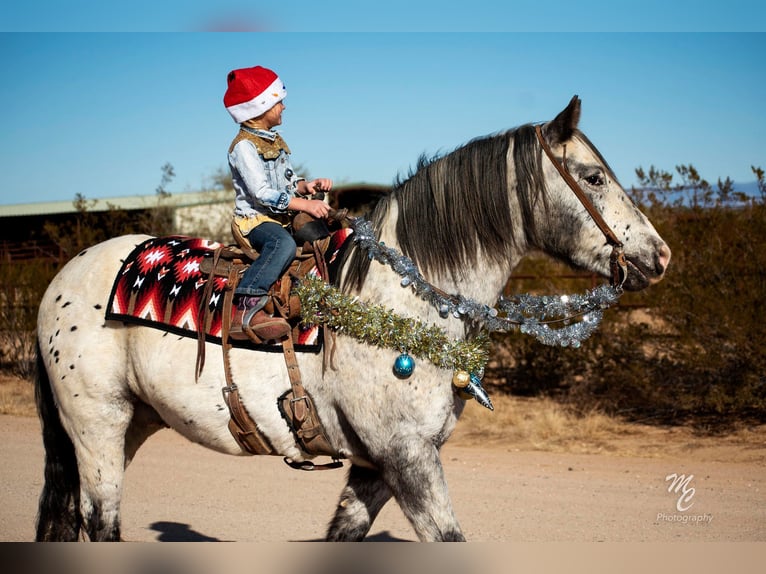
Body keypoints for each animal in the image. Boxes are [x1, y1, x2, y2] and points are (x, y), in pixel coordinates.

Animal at [34, 97, 672, 544]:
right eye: (593, 177)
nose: (659, 255)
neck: (400, 297)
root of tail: (65, 276)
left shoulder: (375, 465)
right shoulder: (406, 454)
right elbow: (448, 538)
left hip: (133, 423)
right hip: (97, 424)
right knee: (102, 521)